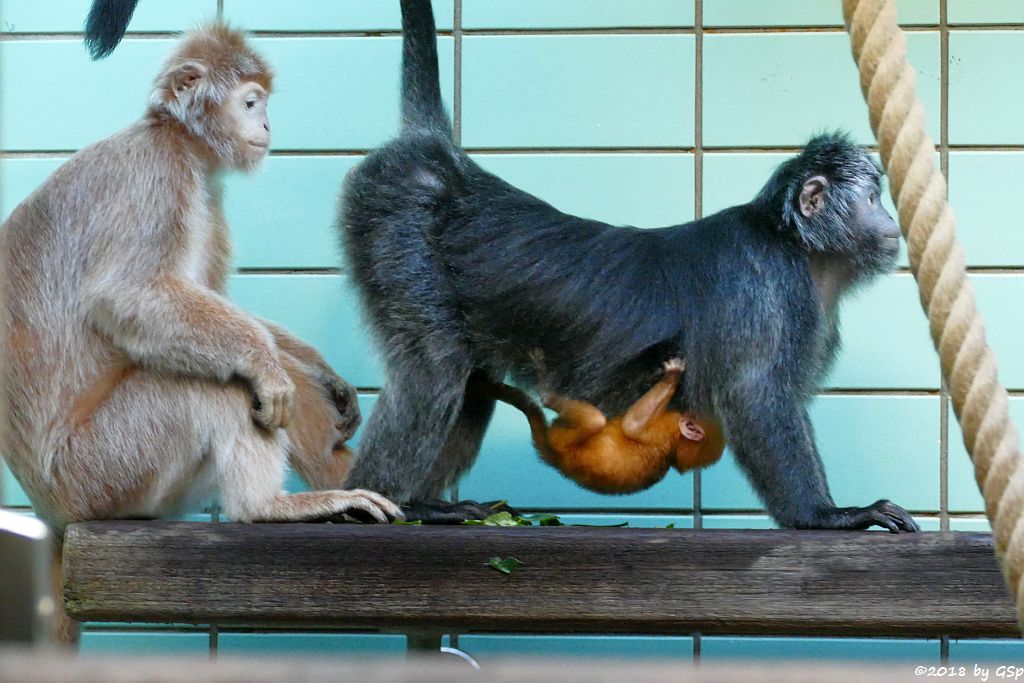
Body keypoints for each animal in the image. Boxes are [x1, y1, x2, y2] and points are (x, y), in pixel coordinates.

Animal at [0, 24, 399, 540]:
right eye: (250, 103)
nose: (266, 126)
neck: (177, 140)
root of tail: (54, 512)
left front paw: (328, 376)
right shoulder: (155, 176)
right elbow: (128, 295)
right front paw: (263, 364)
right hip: (102, 470)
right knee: (220, 383)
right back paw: (267, 504)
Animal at [483, 356, 724, 493]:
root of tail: (555, 457)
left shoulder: (664, 430)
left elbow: (632, 425)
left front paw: (671, 377)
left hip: (564, 439)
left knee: (593, 420)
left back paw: (547, 391)